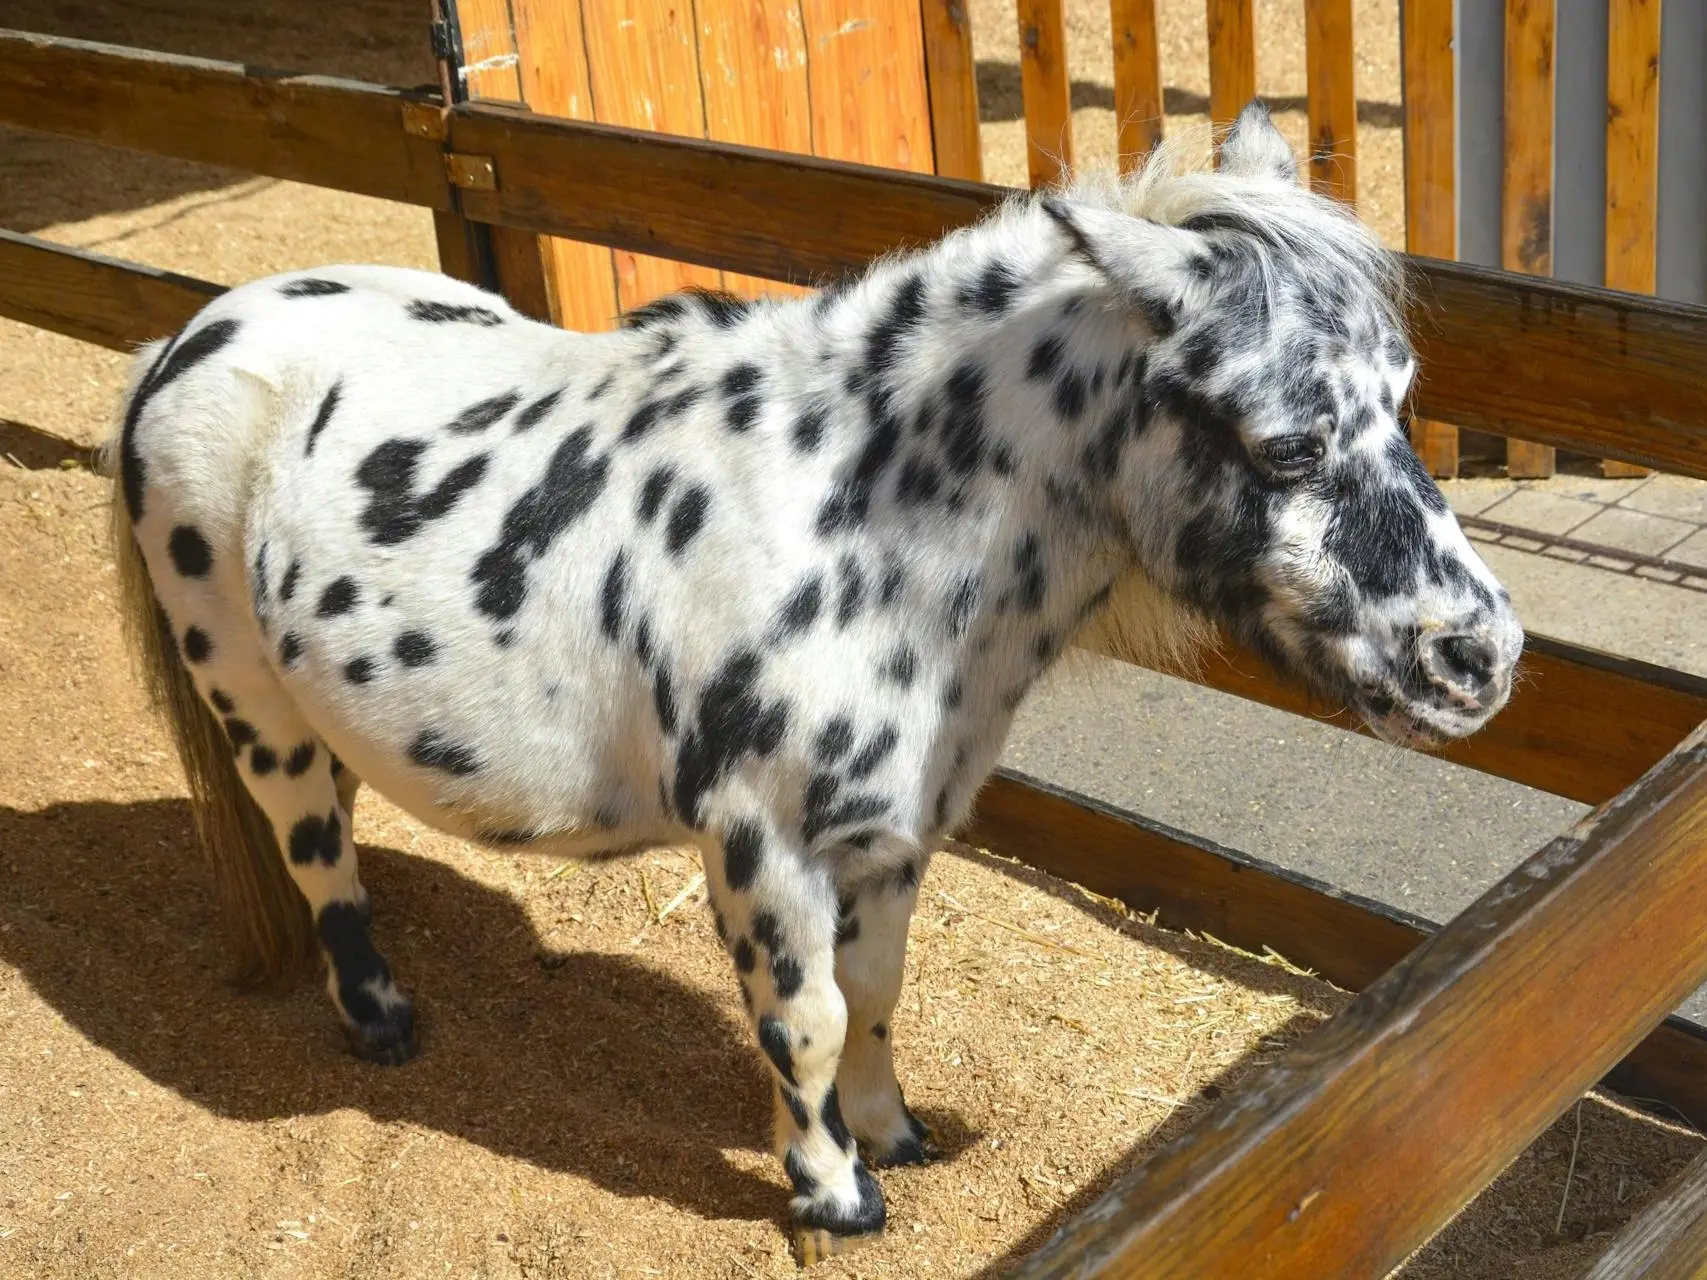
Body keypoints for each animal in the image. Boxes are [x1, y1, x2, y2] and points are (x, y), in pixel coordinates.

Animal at [103, 105, 1522, 1269]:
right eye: (1287, 442)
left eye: (1401, 399)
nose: (1481, 657)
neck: (856, 529)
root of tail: (188, 335)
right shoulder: (763, 844)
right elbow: (807, 1021)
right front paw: (835, 1196)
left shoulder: (889, 838)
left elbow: (876, 997)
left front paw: (894, 1137)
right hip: (252, 708)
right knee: (313, 847)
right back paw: (380, 1015)